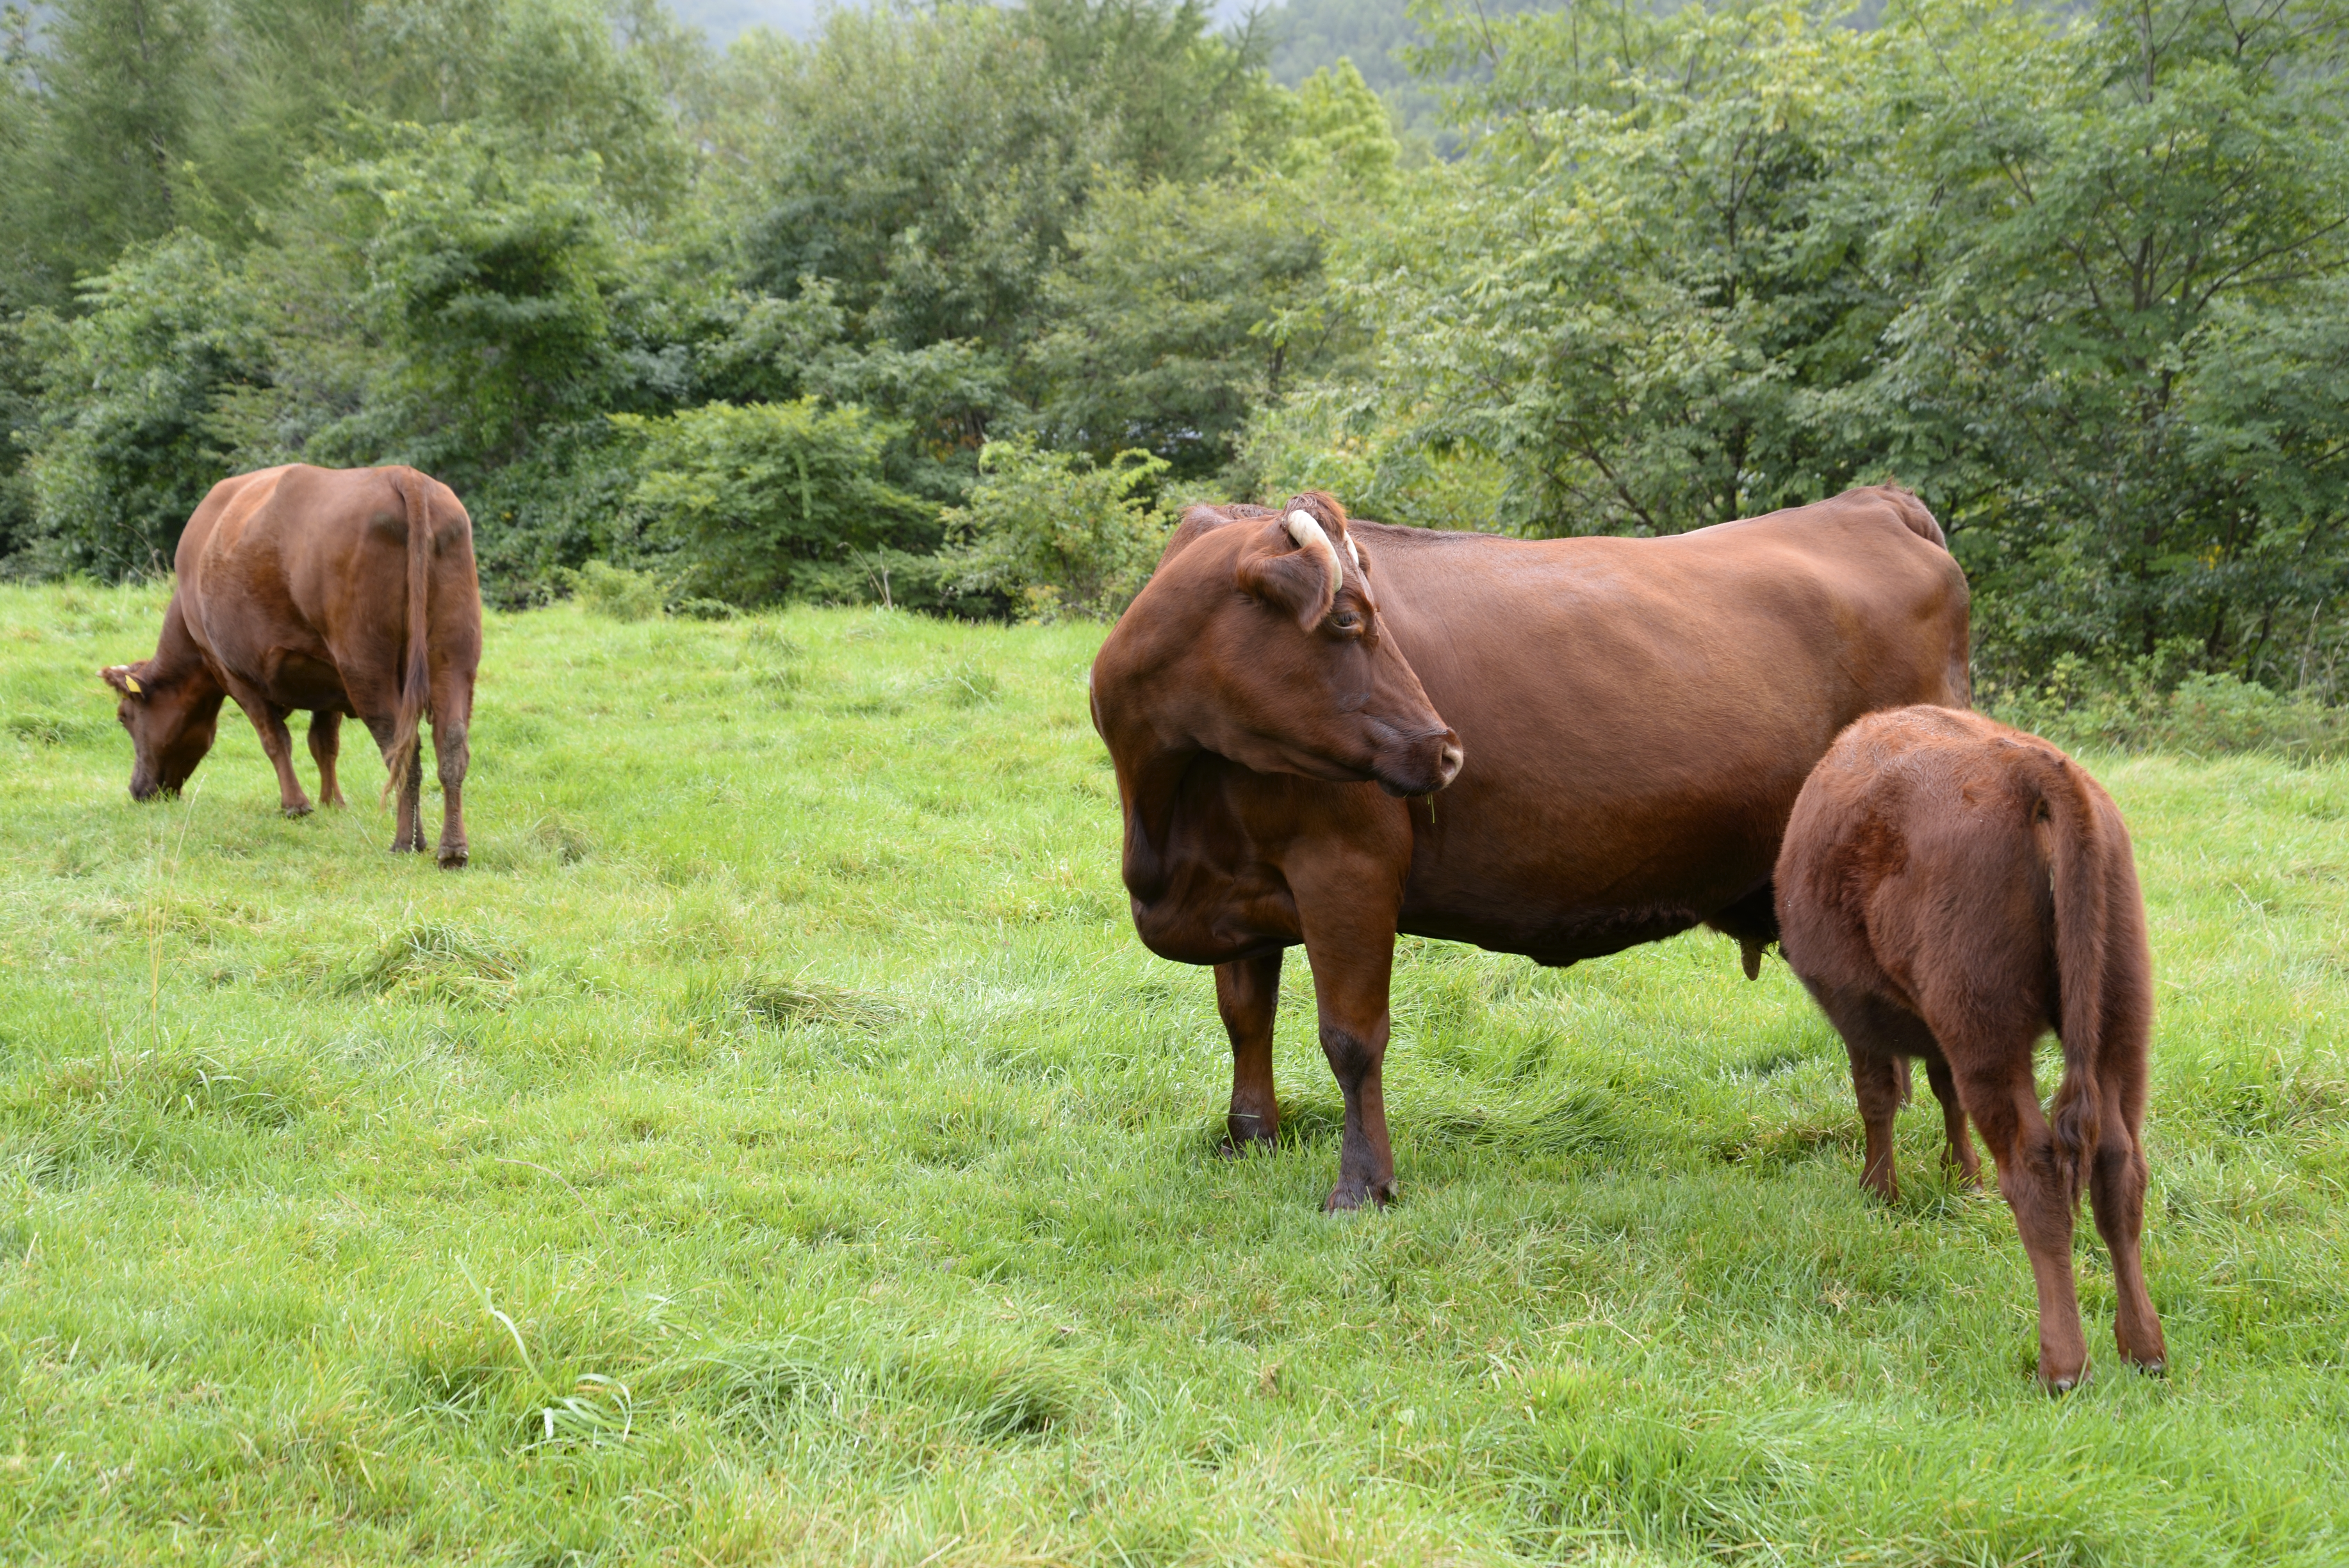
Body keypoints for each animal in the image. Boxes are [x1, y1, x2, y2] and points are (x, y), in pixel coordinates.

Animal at [101, 462, 481, 868]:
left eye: (124, 717)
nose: (138, 790)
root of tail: (403, 474)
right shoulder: (330, 681)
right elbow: (324, 743)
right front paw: (333, 802)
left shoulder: (233, 673)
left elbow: (275, 740)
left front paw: (296, 805)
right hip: (454, 655)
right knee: (451, 744)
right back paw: (451, 848)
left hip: (366, 666)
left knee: (401, 750)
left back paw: (405, 842)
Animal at [1090, 483, 1973, 1211]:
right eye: (1346, 619)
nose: (1447, 750)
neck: (1166, 812)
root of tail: (1873, 502)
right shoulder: (1239, 885)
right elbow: (1244, 1016)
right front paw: (1250, 1139)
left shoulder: (1346, 870)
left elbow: (1350, 1037)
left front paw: (1363, 1185)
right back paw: (1929, 1180)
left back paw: (1949, 1179)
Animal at [1776, 704, 2161, 1390]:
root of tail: (2028, 769)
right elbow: (1941, 1090)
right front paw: (1963, 1176)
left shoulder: (1858, 1014)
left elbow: (1876, 1099)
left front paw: (1880, 1192)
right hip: (2119, 1026)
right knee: (2119, 1166)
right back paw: (2143, 1347)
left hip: (1986, 1029)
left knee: (2036, 1168)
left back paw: (2062, 1364)